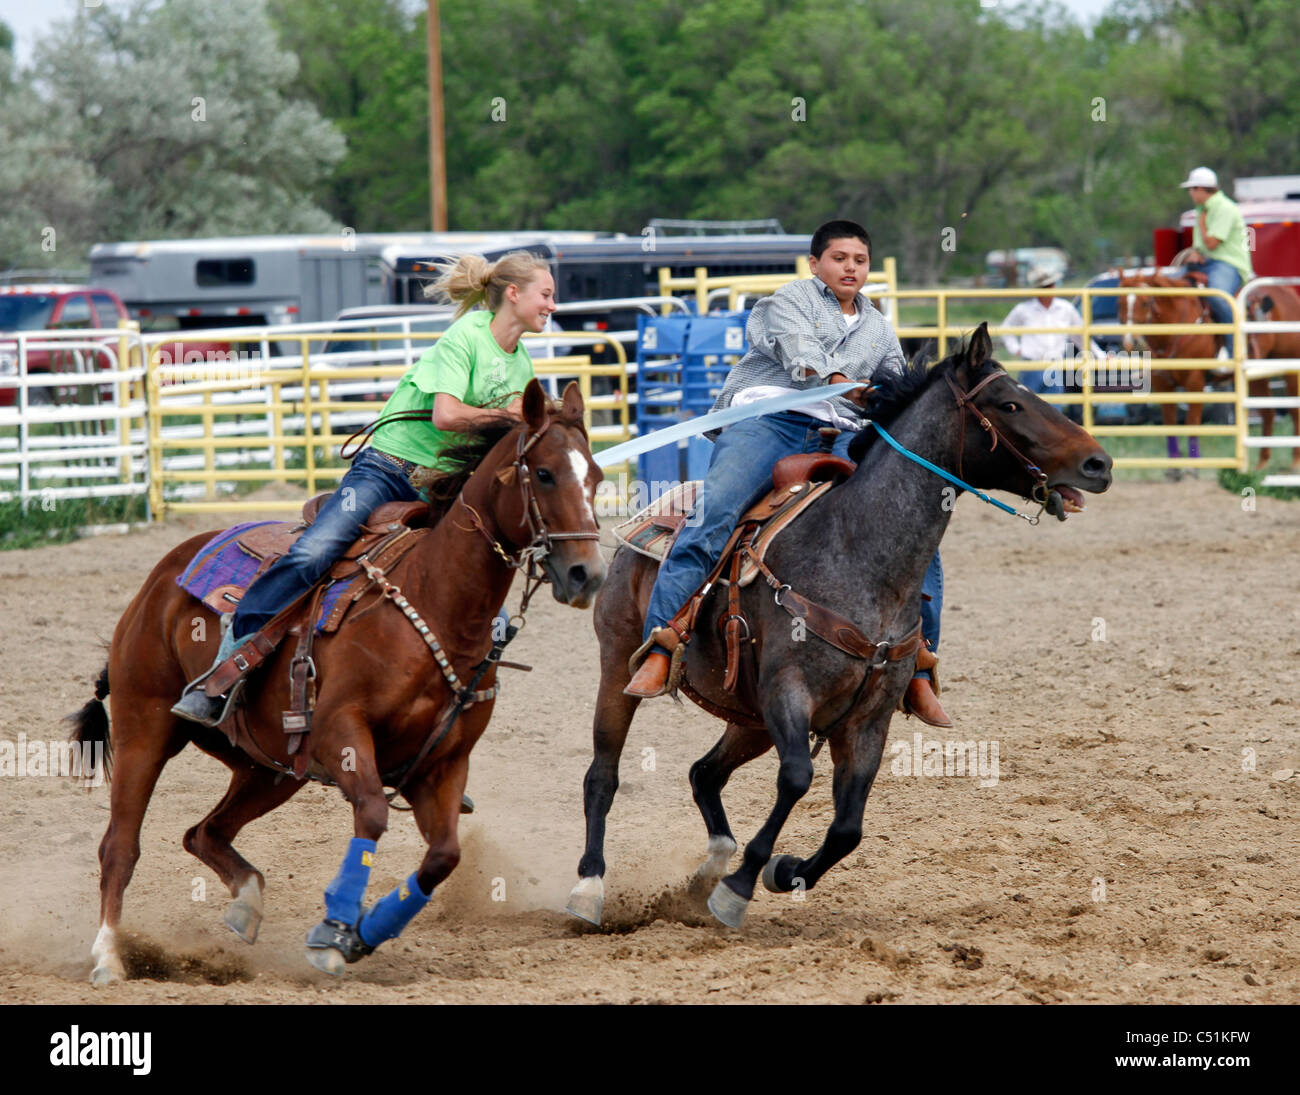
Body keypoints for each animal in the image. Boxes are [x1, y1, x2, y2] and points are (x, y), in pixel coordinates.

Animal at [65, 377, 603, 983]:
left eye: (597, 477)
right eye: (545, 473)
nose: (588, 574)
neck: (434, 599)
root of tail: (158, 580)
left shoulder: (442, 763)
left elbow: (443, 856)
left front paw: (364, 933)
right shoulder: (340, 733)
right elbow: (371, 813)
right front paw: (332, 932)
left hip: (270, 767)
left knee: (204, 832)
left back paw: (246, 904)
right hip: (146, 728)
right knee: (120, 846)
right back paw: (108, 956)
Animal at [564, 319, 1112, 925]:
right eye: (1010, 404)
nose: (1100, 464)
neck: (856, 550)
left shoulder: (868, 718)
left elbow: (849, 826)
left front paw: (783, 873)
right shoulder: (788, 690)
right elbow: (797, 778)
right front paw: (739, 888)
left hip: (748, 715)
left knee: (704, 773)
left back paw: (708, 870)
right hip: (619, 664)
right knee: (603, 774)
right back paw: (589, 888)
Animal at [1112, 270, 1222, 475]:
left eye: (1145, 302)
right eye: (1119, 302)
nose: (1131, 342)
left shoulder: (1195, 381)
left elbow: (1191, 420)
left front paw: (1191, 467)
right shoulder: (1162, 383)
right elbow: (1170, 422)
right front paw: (1174, 469)